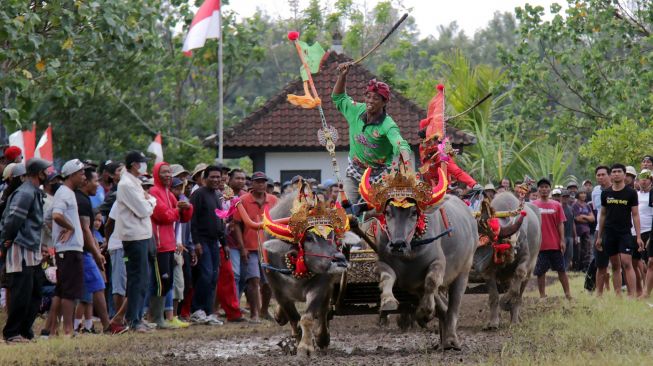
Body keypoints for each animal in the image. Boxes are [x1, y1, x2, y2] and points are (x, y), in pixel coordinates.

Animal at [262, 190, 348, 356]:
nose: (340, 259)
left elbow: (308, 317)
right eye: (309, 237)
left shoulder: (320, 286)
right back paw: (279, 316)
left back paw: (322, 338)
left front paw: (306, 346)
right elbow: (294, 319)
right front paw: (297, 342)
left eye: (333, 236)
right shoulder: (278, 290)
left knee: (323, 312)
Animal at [360, 166, 476, 348]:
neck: (409, 255)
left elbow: (431, 282)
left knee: (453, 307)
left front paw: (424, 313)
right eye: (387, 212)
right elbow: (387, 277)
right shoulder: (382, 262)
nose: (397, 244)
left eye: (414, 212)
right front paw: (388, 302)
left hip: (463, 273)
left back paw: (451, 339)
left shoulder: (438, 264)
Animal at [474, 192, 540, 328]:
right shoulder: (488, 272)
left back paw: (515, 320)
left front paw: (505, 303)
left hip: (530, 270)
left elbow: (515, 290)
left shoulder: (524, 260)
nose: (475, 264)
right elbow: (494, 296)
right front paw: (493, 321)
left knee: (519, 295)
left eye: (488, 242)